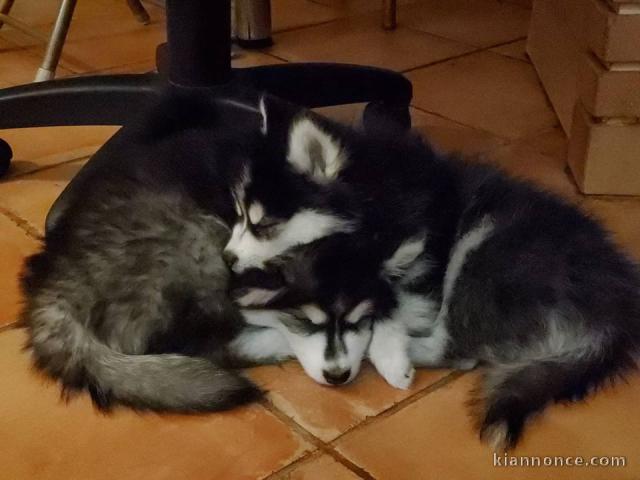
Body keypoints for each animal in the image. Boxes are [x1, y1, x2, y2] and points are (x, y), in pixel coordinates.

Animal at [225, 100, 640, 450]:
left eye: (263, 225)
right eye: (238, 215)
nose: (228, 257)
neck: (378, 204)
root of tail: (616, 313)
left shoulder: (418, 263)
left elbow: (391, 307)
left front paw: (389, 354)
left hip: (482, 251)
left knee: (459, 349)